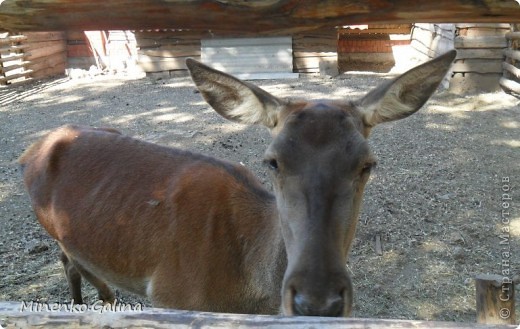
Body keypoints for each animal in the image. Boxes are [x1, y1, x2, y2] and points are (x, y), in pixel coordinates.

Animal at [19, 50, 456, 316]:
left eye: (367, 164)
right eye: (272, 161)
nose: (318, 302)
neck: (245, 298)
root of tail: (31, 149)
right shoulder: (171, 296)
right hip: (52, 227)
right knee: (68, 258)